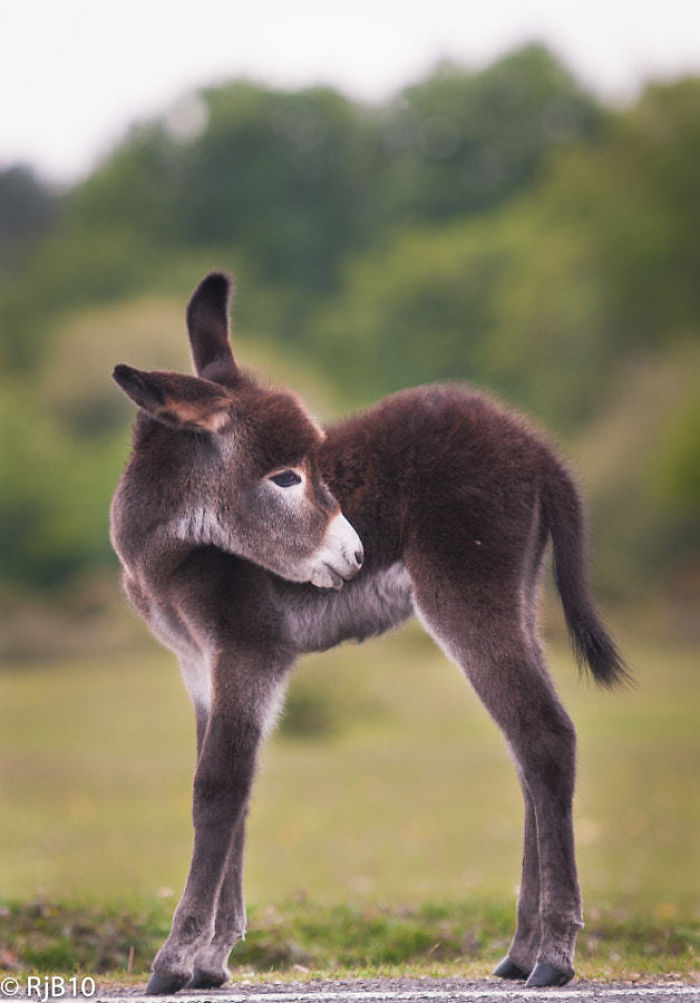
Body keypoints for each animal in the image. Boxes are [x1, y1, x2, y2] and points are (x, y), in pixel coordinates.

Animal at [110, 270, 625, 990]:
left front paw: (177, 961)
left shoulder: (248, 653)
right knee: (526, 747)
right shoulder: (199, 665)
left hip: (465, 597)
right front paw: (213, 960)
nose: (354, 556)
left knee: (546, 736)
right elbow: (237, 788)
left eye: (307, 470)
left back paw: (553, 954)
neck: (175, 550)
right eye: (286, 476)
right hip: (515, 599)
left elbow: (217, 788)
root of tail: (537, 448)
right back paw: (522, 951)